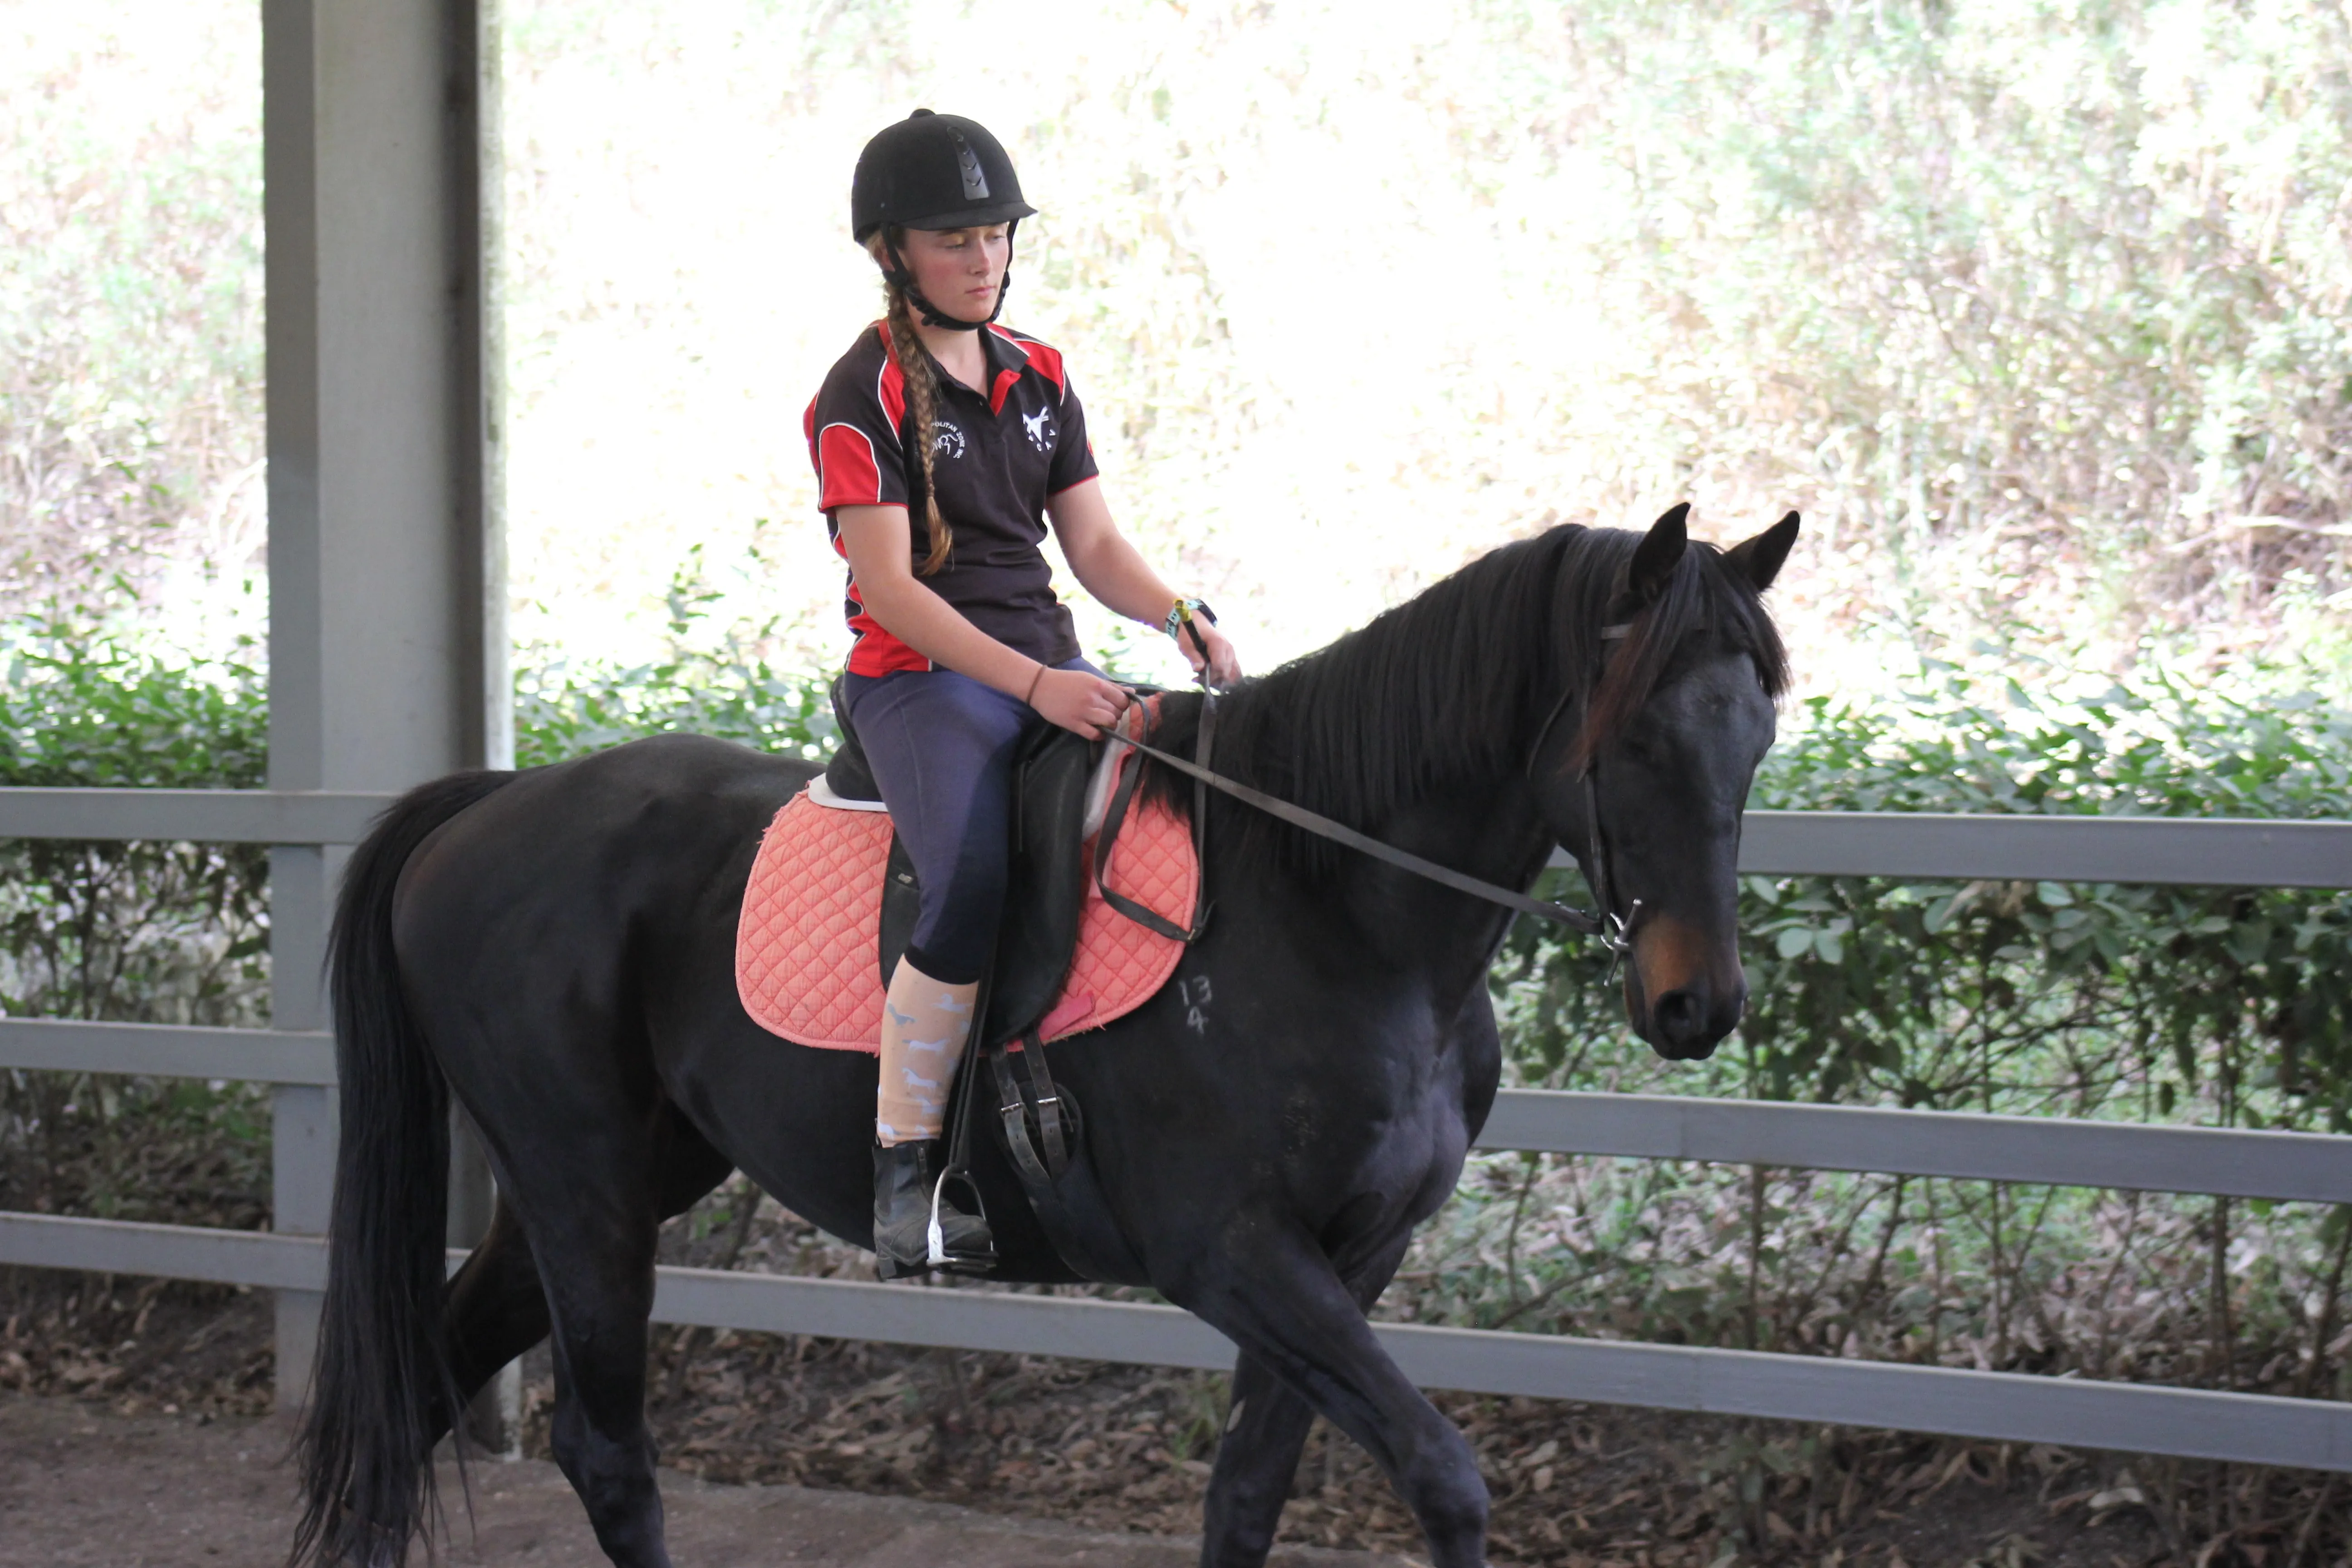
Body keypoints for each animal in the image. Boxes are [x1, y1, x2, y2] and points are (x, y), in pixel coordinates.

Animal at [294, 505, 1797, 1568]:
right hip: (586, 1195)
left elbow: (1246, 1497)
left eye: (1757, 736)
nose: (1699, 1005)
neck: (1324, 903)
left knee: (416, 1398)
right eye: (1637, 740)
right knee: (603, 1455)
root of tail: (494, 802)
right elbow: (1445, 1480)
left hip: (602, 1185)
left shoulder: (1351, 1257)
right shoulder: (1232, 1252)